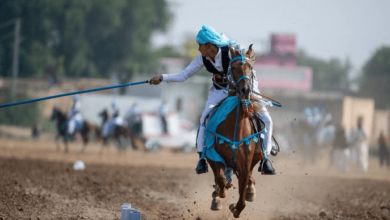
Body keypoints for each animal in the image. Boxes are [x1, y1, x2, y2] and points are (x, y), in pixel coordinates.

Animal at [206, 44, 264, 218]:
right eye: (234, 67)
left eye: (250, 67)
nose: (245, 90)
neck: (235, 130)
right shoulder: (213, 156)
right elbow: (220, 179)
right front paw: (219, 196)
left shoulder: (244, 164)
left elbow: (242, 198)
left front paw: (236, 207)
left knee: (249, 178)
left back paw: (250, 190)